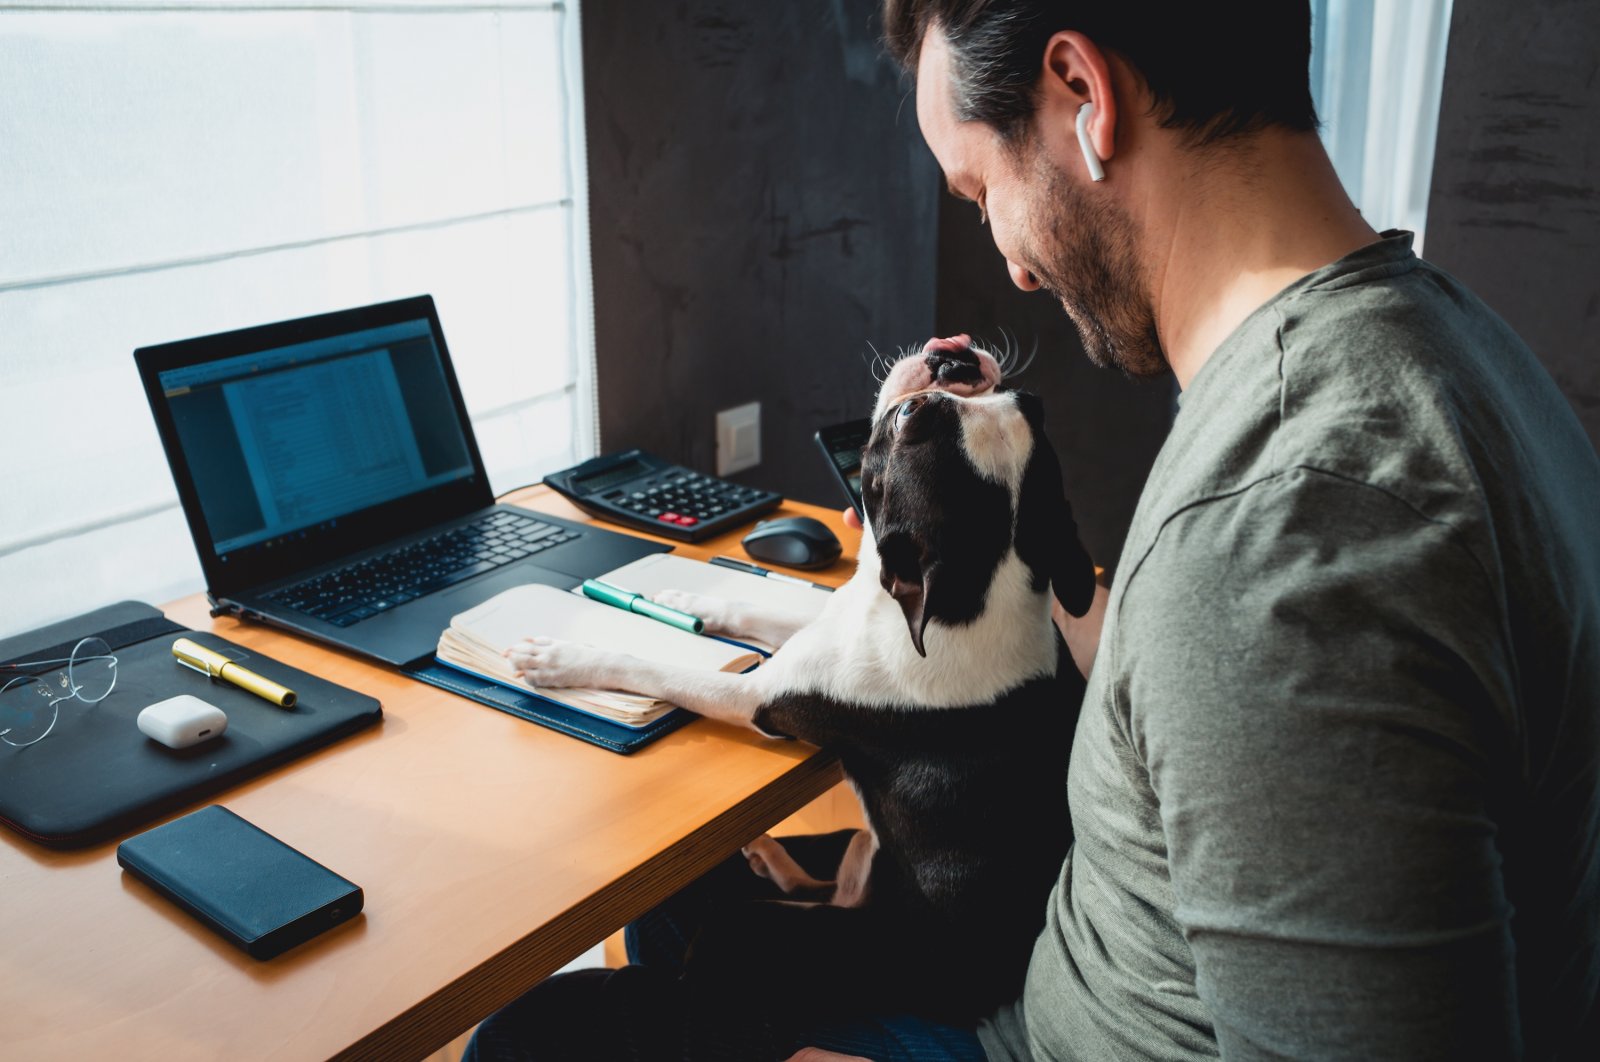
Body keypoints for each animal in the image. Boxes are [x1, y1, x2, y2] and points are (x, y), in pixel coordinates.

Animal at [505, 337, 1094, 1023]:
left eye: (907, 419)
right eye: (1028, 402)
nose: (956, 358)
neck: (973, 595)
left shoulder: (755, 696)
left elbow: (657, 668)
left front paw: (561, 656)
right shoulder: (837, 617)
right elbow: (761, 609)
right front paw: (683, 600)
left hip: (752, 934)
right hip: (856, 859)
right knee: (827, 879)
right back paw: (771, 854)